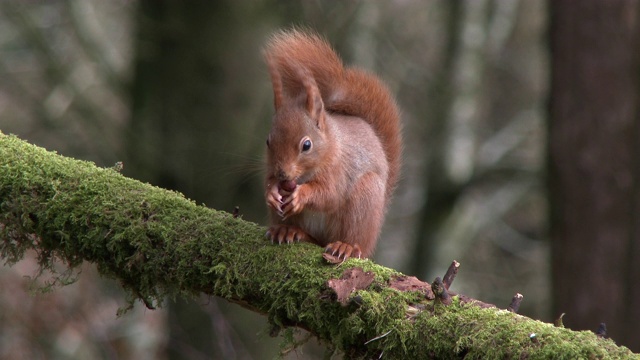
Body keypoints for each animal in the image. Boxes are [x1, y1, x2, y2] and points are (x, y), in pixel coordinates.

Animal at [260, 28, 400, 258]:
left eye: (307, 145)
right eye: (268, 141)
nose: (283, 174)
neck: (331, 144)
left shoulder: (338, 170)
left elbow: (330, 194)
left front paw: (301, 195)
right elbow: (268, 181)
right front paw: (271, 191)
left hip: (364, 201)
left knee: (352, 239)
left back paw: (346, 247)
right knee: (313, 238)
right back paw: (289, 230)